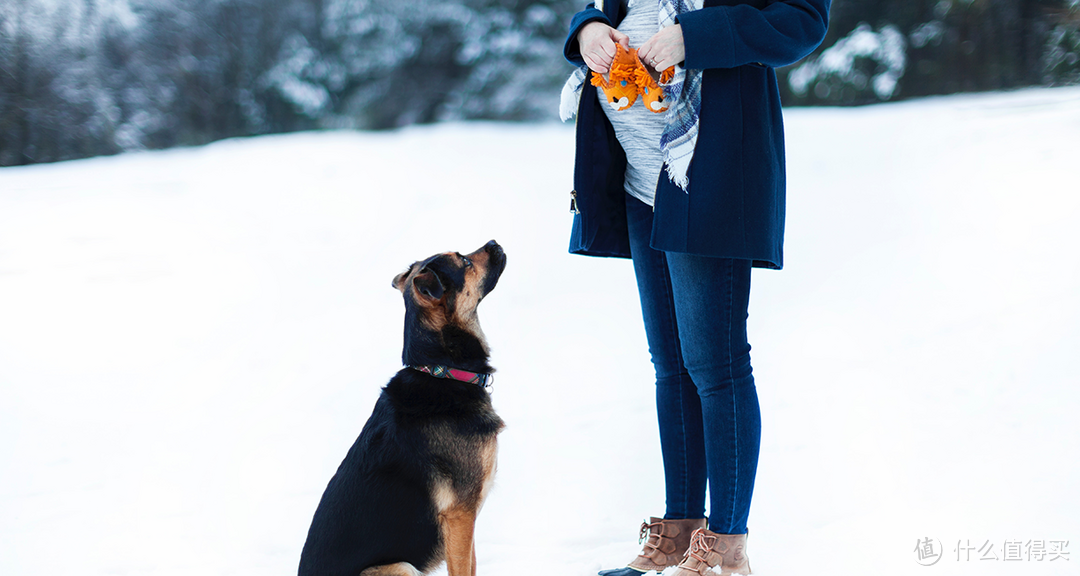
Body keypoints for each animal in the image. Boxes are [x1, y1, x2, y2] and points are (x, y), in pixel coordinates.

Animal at [298, 238, 507, 574]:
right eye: (464, 261)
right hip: (400, 566)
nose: (494, 242)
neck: (440, 370)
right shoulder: (460, 515)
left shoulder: (467, 519)